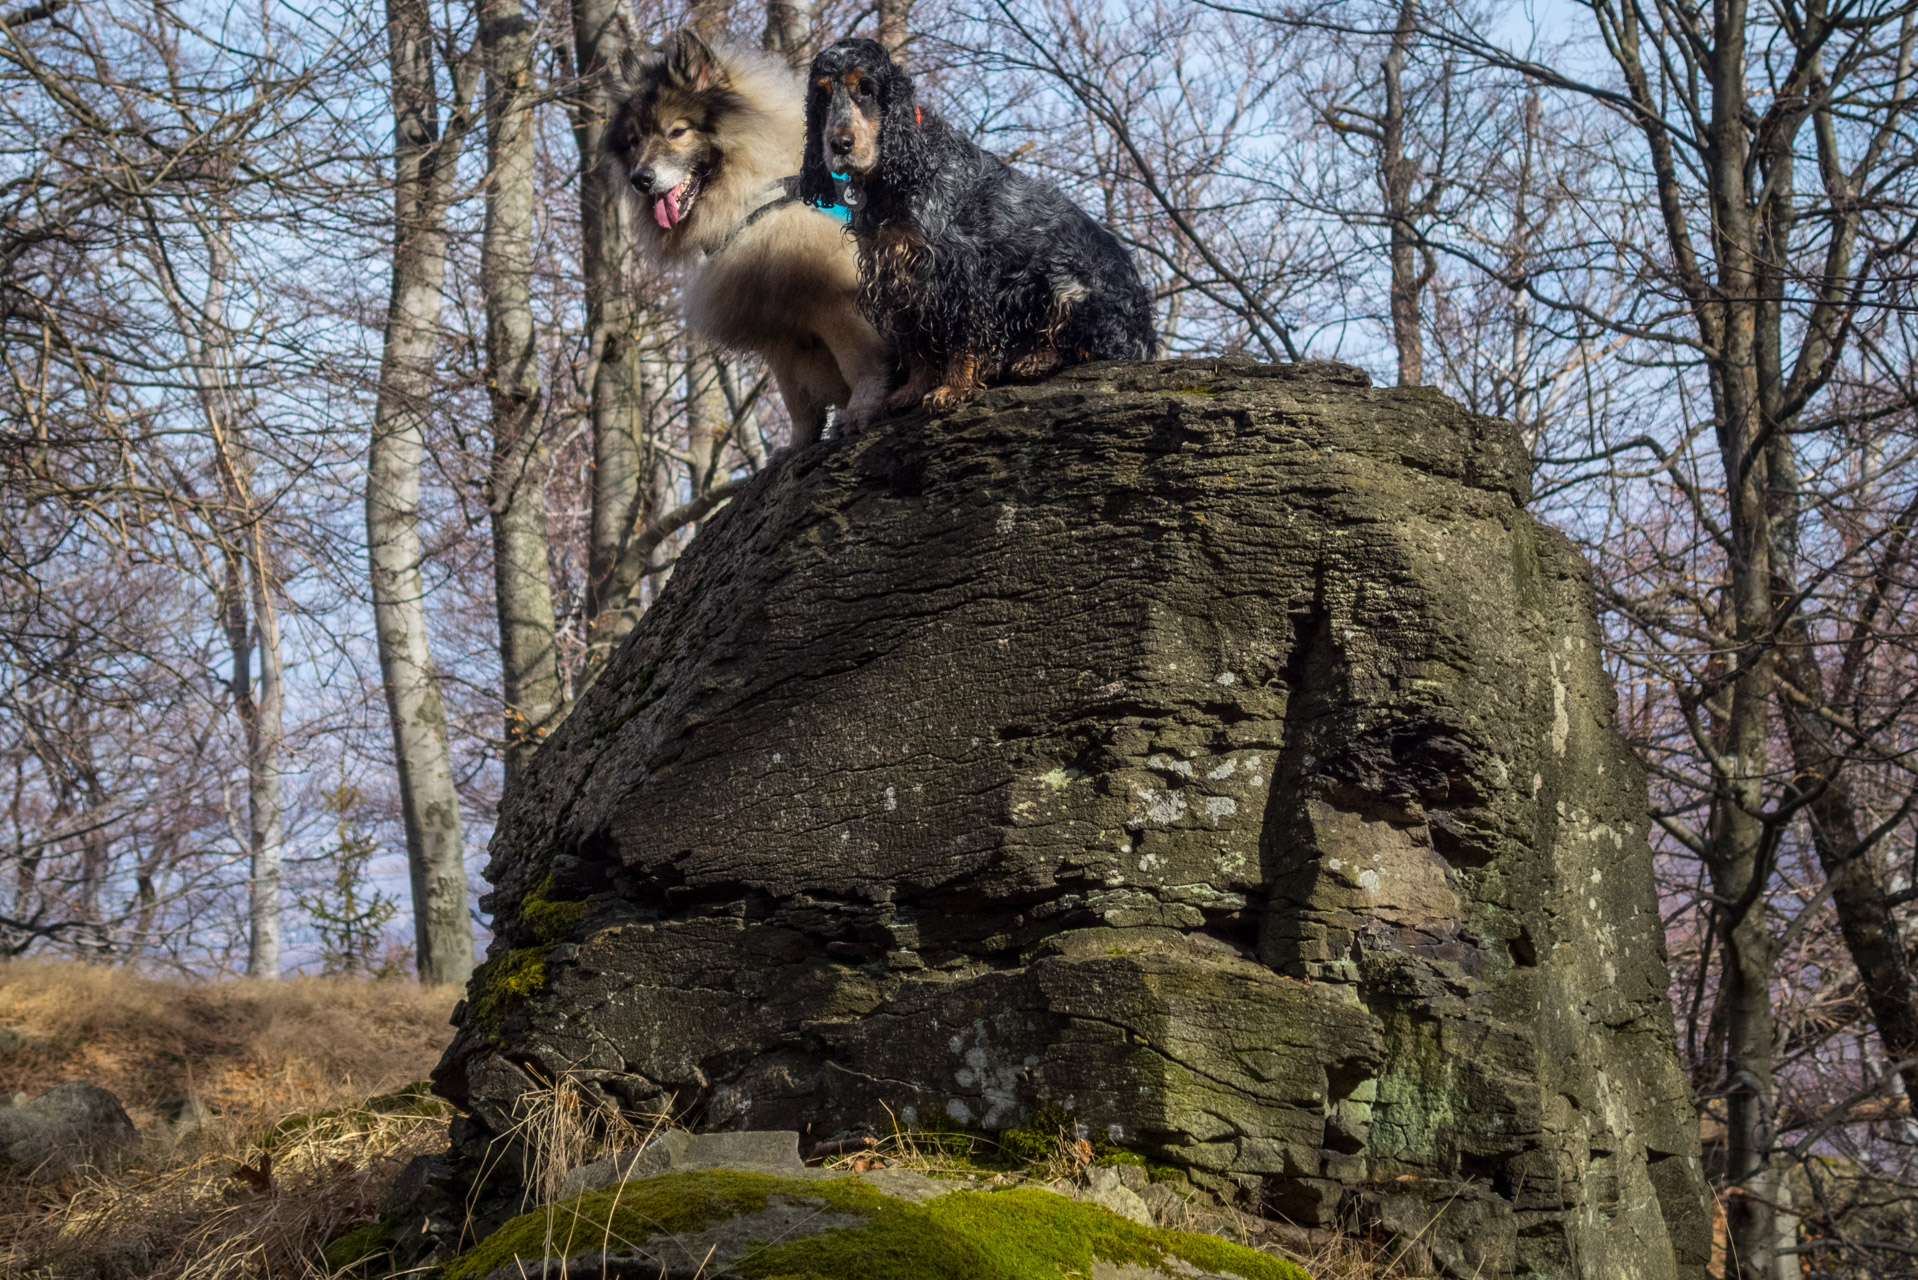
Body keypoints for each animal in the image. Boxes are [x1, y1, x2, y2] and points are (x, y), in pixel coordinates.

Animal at [797, 37, 1150, 410]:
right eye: (822, 95)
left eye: (866, 88)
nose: (840, 144)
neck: (901, 175)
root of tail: (1147, 336)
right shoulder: (896, 272)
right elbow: (916, 343)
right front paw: (913, 389)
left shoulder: (960, 270)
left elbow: (963, 336)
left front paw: (953, 387)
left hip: (1068, 281)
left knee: (1091, 348)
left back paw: (1037, 359)